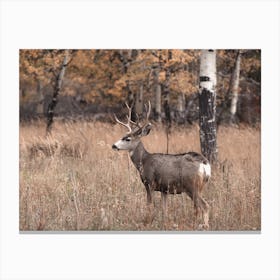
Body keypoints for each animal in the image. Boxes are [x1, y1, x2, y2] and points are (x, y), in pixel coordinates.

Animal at [112, 101, 211, 229]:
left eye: (127, 139)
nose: (114, 145)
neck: (144, 161)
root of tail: (205, 163)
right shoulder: (164, 189)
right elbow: (164, 209)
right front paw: (163, 223)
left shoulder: (149, 183)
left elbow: (150, 205)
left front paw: (147, 222)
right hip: (200, 186)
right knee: (198, 207)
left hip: (191, 185)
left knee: (205, 206)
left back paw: (202, 225)